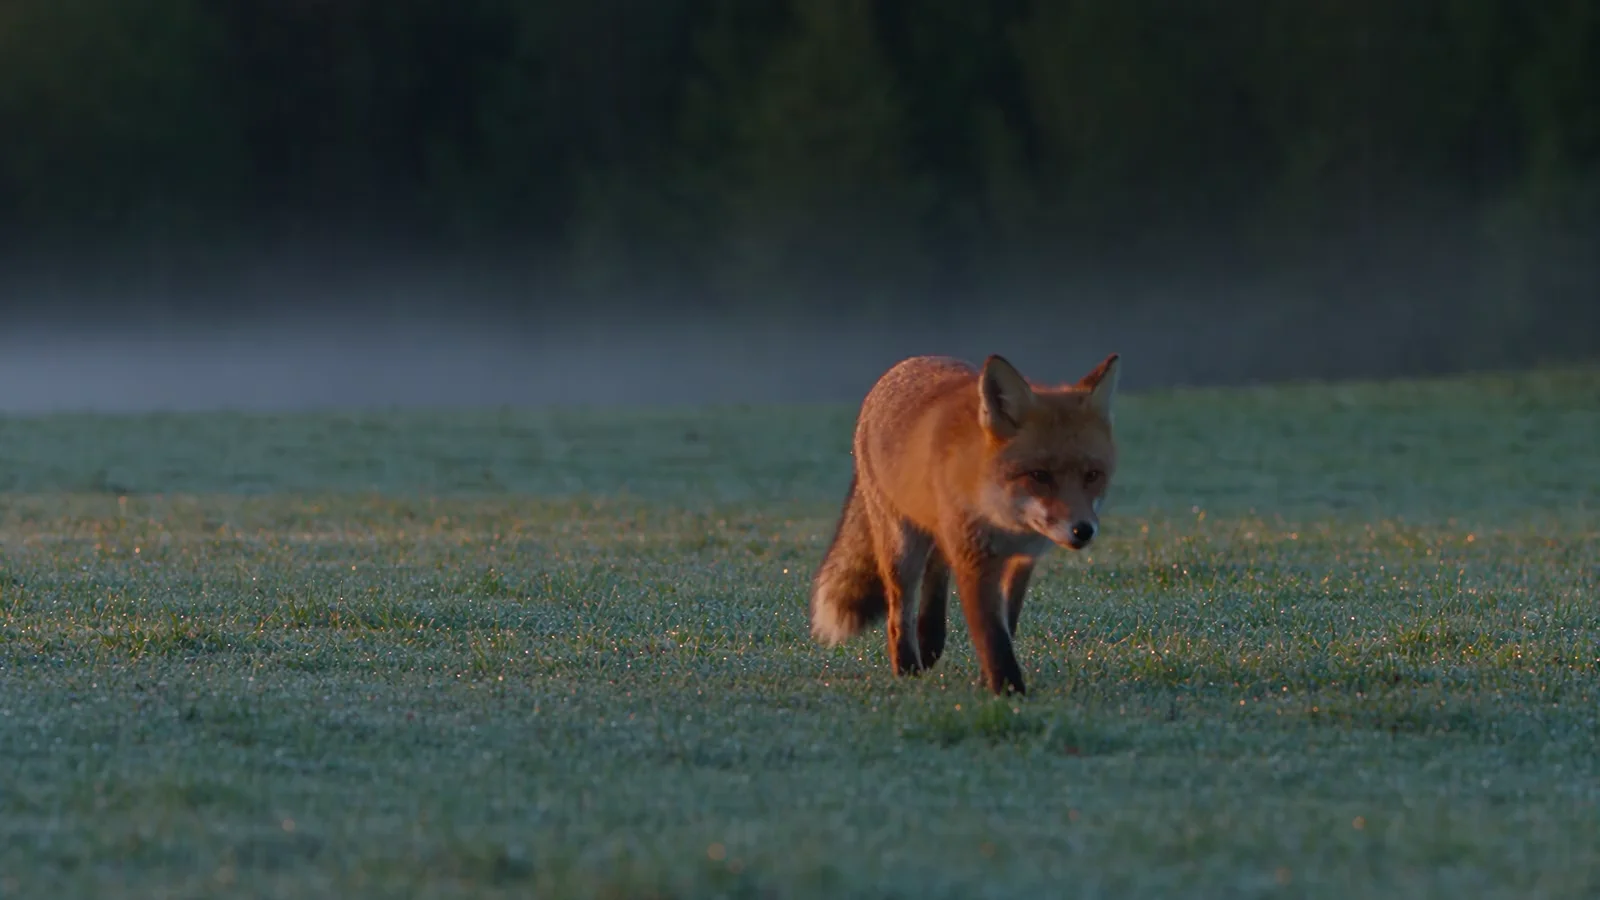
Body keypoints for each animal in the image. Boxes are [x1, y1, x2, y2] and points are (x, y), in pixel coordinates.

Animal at [808, 352, 1120, 696]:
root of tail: (906, 363)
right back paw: (907, 668)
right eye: (1039, 475)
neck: (1005, 520)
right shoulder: (976, 558)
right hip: (902, 547)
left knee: (937, 570)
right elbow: (992, 634)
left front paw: (990, 681)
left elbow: (1006, 623)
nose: (1083, 530)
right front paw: (1009, 692)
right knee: (899, 614)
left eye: (1092, 475)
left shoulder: (1020, 560)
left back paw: (930, 637)